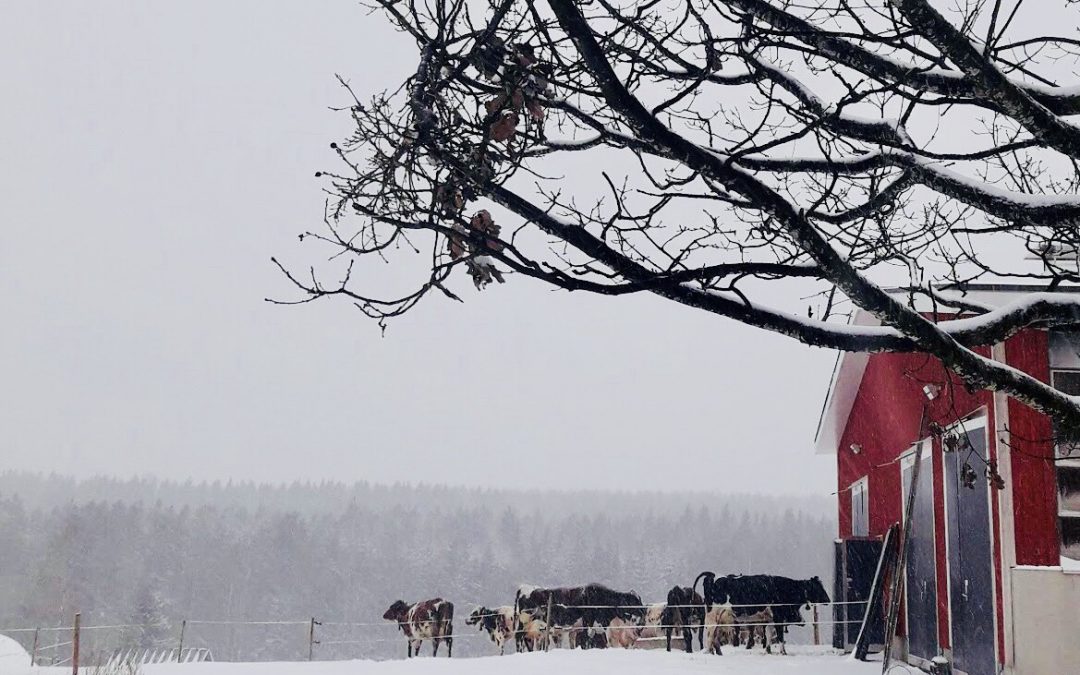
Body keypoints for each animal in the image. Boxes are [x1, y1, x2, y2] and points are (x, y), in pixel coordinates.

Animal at [695, 570, 829, 656]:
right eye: (818, 587)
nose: (828, 600)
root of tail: (712, 575)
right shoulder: (778, 617)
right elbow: (780, 636)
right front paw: (783, 652)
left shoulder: (769, 619)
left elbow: (768, 634)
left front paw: (768, 651)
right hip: (712, 615)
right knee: (710, 634)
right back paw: (709, 652)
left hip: (719, 618)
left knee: (714, 635)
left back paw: (716, 652)